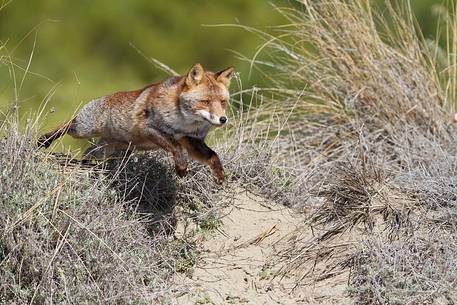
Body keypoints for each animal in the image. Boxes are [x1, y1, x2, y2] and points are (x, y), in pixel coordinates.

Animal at [37, 63, 233, 183]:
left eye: (223, 102)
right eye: (205, 102)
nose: (223, 119)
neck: (186, 123)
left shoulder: (192, 140)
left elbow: (212, 155)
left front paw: (219, 175)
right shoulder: (150, 129)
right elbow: (177, 150)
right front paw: (181, 169)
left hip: (107, 150)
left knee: (88, 152)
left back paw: (84, 163)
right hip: (83, 129)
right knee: (67, 124)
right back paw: (45, 140)